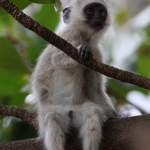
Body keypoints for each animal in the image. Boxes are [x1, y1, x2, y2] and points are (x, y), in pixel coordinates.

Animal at [31, 0, 116, 150]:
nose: (98, 18)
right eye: (90, 10)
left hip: (78, 111)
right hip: (56, 111)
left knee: (92, 113)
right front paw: (83, 51)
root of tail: (69, 111)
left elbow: (94, 89)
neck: (85, 37)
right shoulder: (70, 34)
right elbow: (58, 59)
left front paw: (113, 116)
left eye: (101, 12)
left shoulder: (97, 54)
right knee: (52, 118)